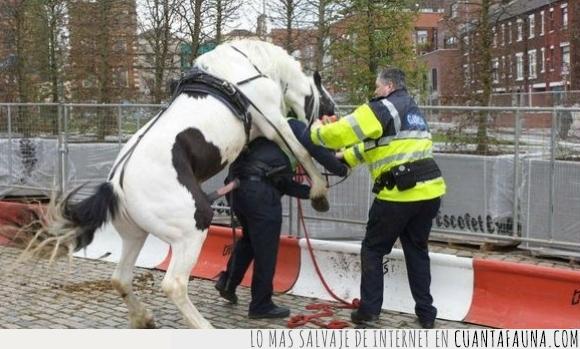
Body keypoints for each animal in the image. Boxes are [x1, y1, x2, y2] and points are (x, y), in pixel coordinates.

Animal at [19, 39, 336, 328]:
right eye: (327, 101)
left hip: (135, 235)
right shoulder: (274, 123)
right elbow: (301, 151)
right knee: (173, 284)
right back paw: (203, 327)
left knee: (121, 279)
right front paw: (319, 192)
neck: (247, 67)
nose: (331, 119)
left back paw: (143, 318)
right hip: (191, 231)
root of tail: (115, 187)